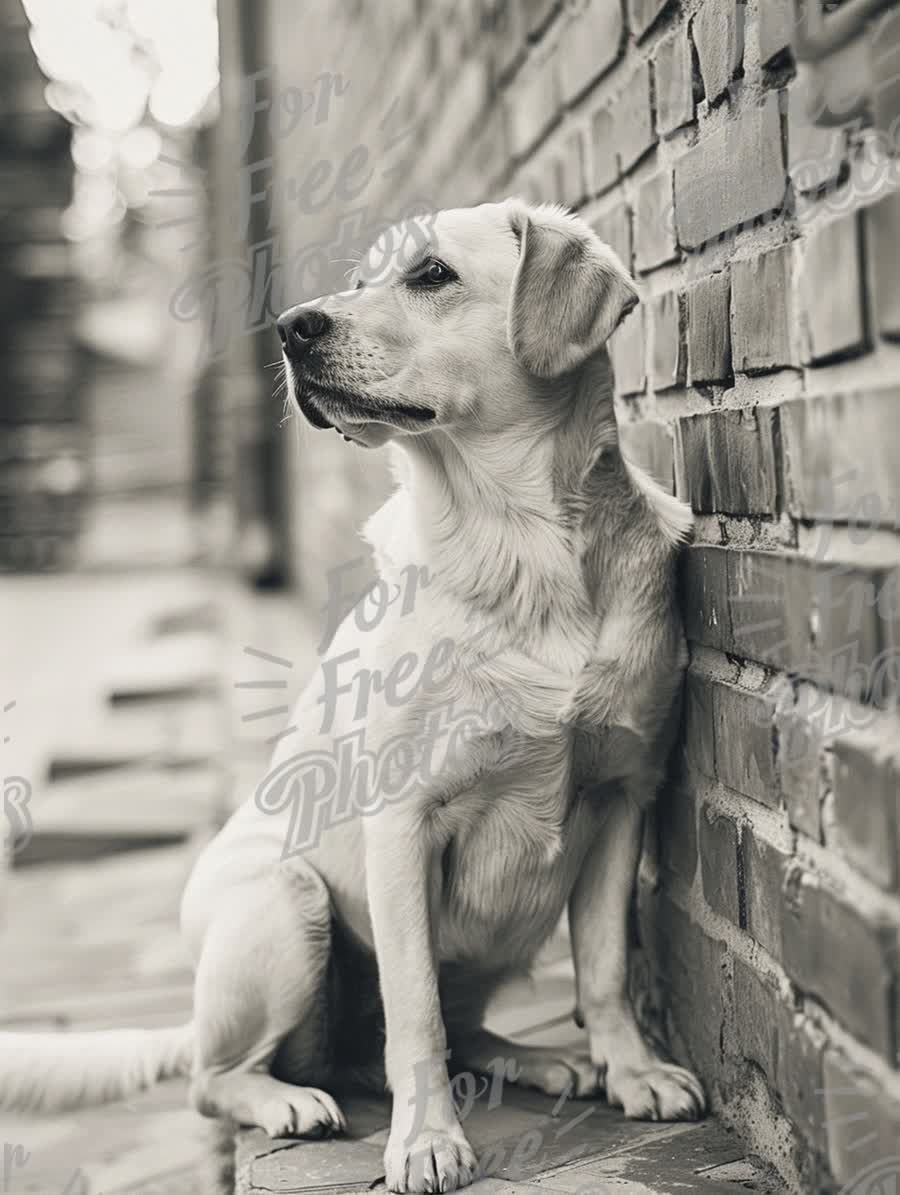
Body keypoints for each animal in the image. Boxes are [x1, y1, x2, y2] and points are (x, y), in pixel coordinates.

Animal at [0, 200, 702, 1190]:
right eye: (361, 279)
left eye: (432, 275)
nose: (293, 328)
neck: (518, 544)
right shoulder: (402, 822)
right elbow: (415, 1010)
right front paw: (427, 1139)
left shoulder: (622, 797)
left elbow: (602, 968)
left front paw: (633, 1070)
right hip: (287, 902)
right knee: (224, 1076)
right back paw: (291, 1101)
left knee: (441, 1032)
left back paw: (536, 1058)